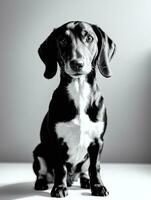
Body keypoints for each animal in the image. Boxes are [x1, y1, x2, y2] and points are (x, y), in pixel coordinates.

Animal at [32, 20, 115, 197]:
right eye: (62, 40)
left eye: (89, 38)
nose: (77, 63)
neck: (79, 92)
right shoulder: (57, 142)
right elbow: (60, 168)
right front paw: (59, 188)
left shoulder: (98, 142)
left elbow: (95, 167)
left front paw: (97, 186)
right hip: (39, 151)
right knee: (42, 172)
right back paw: (42, 183)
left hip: (85, 158)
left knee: (84, 170)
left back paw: (85, 181)